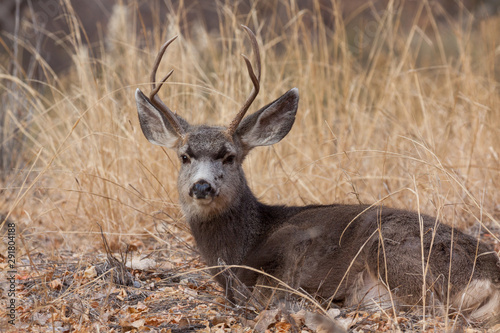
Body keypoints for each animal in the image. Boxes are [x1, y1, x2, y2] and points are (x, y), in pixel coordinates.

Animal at [134, 27, 500, 320]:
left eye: (229, 156)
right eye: (184, 156)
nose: (202, 186)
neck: (243, 244)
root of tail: (490, 273)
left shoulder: (291, 250)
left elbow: (261, 294)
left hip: (394, 250)